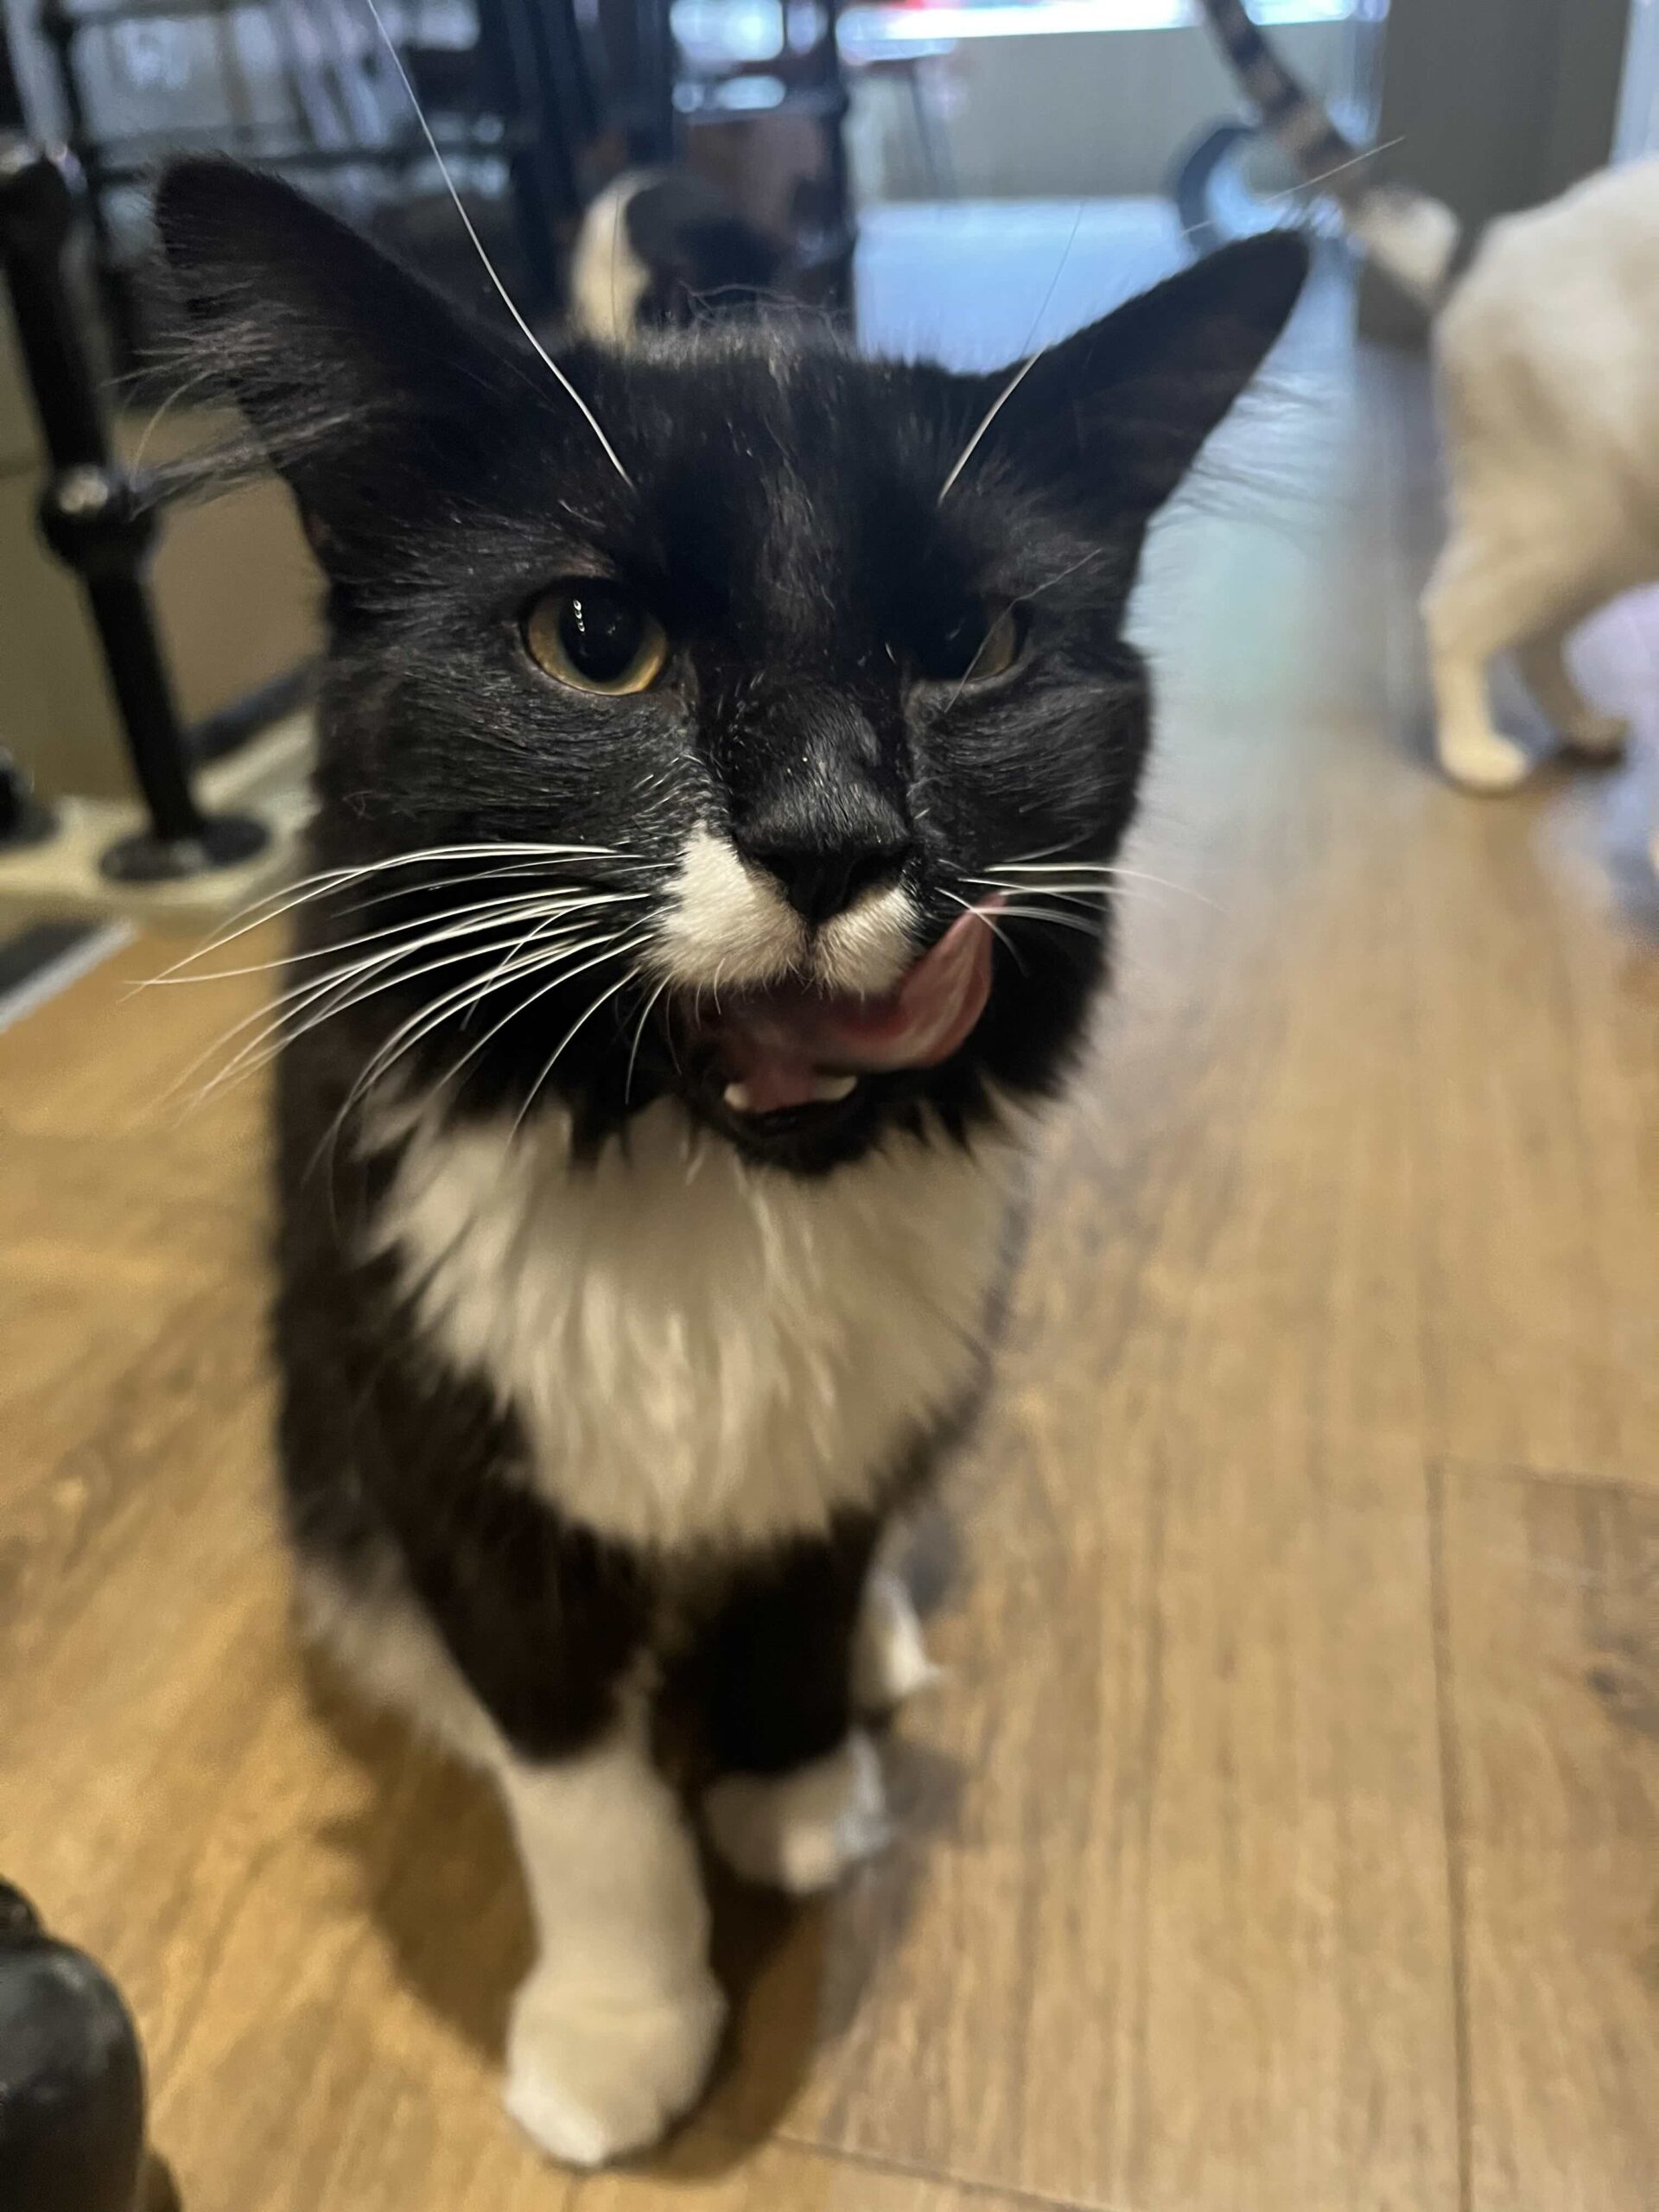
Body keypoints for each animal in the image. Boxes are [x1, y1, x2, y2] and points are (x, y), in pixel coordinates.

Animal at [155, 155, 1303, 2166]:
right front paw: (623, 2023)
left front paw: (795, 1784)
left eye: (968, 648)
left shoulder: (865, 1373)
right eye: (591, 642)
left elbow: (812, 1564)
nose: (836, 837)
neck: (715, 1180)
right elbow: (576, 1774)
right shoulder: (444, 1412)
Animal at [1199, 0, 1650, 799]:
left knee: (1534, 634)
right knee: (1455, 612)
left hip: (1615, 531)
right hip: (1569, 507)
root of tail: (1483, 250)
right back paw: (1474, 754)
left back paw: (1583, 728)